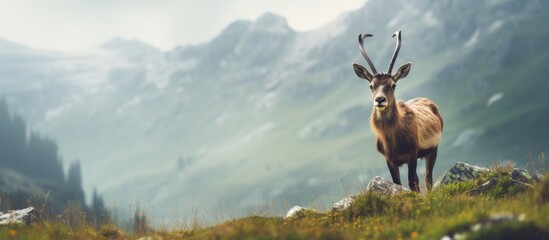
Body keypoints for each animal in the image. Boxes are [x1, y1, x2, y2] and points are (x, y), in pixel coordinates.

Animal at [352, 31, 440, 193]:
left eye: (393, 84)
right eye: (371, 85)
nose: (380, 99)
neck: (393, 144)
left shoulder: (412, 152)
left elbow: (413, 182)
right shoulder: (389, 159)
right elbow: (397, 183)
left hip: (433, 148)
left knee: (428, 178)